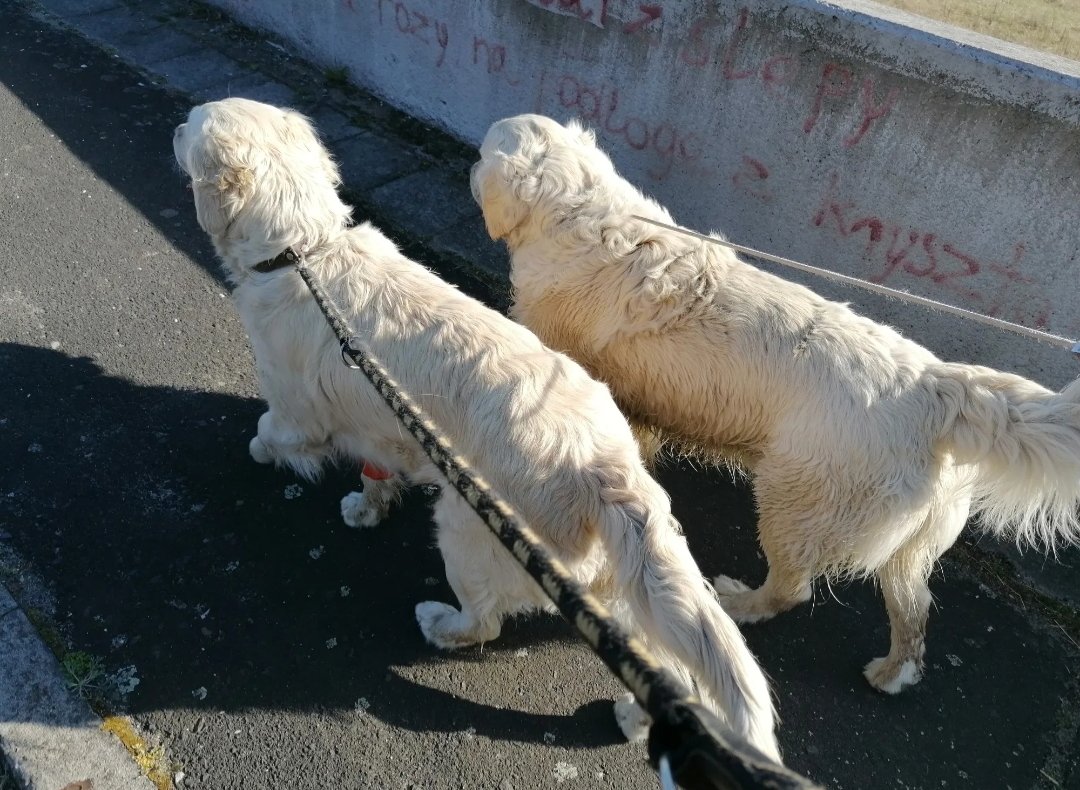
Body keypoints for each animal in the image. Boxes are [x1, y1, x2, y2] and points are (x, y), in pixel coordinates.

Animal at [170, 97, 786, 760]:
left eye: (192, 125)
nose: (175, 127)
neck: (304, 252)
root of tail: (606, 466)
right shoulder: (382, 425)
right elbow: (374, 470)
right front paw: (366, 505)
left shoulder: (295, 410)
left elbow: (271, 431)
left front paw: (263, 453)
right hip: (617, 580)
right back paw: (636, 719)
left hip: (469, 530)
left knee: (485, 621)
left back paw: (442, 624)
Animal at [470, 114, 1080, 695]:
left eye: (480, 153)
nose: (473, 169)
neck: (581, 211)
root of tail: (936, 385)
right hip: (908, 538)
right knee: (915, 607)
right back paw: (891, 674)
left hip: (794, 501)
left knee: (793, 589)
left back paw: (741, 603)